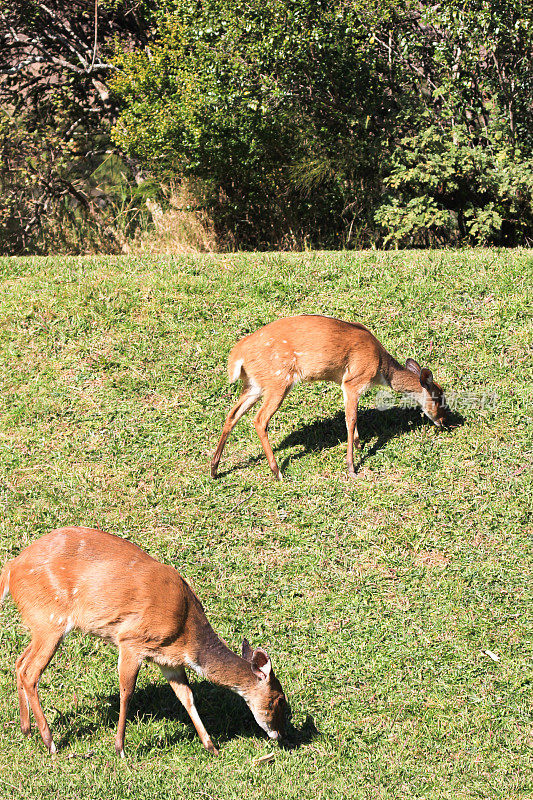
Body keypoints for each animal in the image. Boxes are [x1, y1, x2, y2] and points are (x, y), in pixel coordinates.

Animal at [0, 524, 288, 756]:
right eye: (279, 699)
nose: (281, 734)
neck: (186, 630)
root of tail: (11, 569)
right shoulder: (131, 640)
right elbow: (127, 691)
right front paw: (120, 748)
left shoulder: (168, 660)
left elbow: (187, 697)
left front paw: (211, 747)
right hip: (51, 621)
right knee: (30, 671)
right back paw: (50, 742)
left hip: (40, 624)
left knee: (19, 662)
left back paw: (26, 729)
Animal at [210, 316, 446, 482]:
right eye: (439, 398)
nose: (444, 422)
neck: (381, 369)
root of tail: (237, 357)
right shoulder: (353, 380)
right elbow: (350, 420)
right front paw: (352, 468)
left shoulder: (346, 384)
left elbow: (352, 418)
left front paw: (359, 445)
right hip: (278, 380)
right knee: (259, 420)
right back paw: (277, 472)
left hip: (254, 384)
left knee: (232, 414)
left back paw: (214, 468)